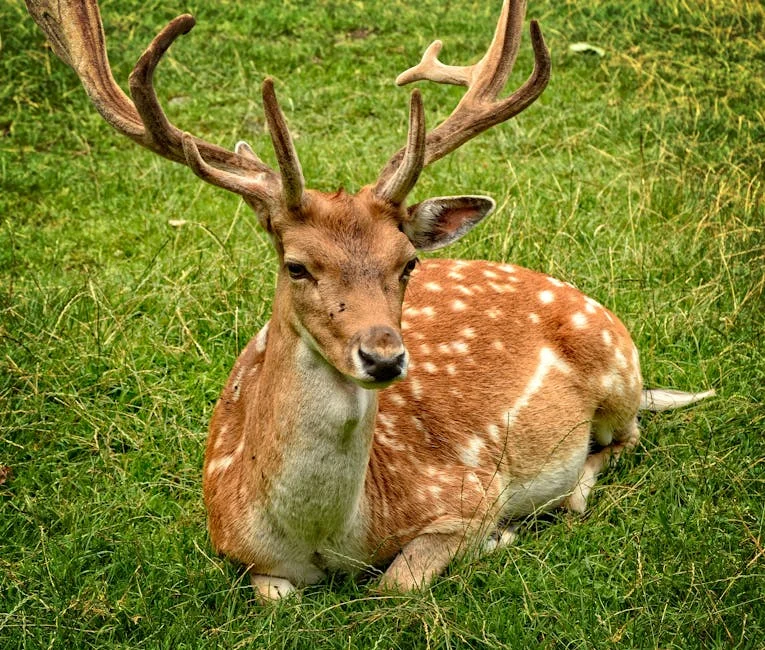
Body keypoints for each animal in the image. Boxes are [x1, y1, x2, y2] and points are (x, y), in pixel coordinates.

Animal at [27, 0, 714, 600]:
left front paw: (497, 540)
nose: (384, 357)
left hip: (614, 367)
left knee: (626, 438)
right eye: (296, 265)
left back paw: (572, 495)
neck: (328, 535)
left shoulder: (468, 489)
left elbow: (397, 583)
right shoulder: (235, 546)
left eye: (407, 262)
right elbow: (275, 597)